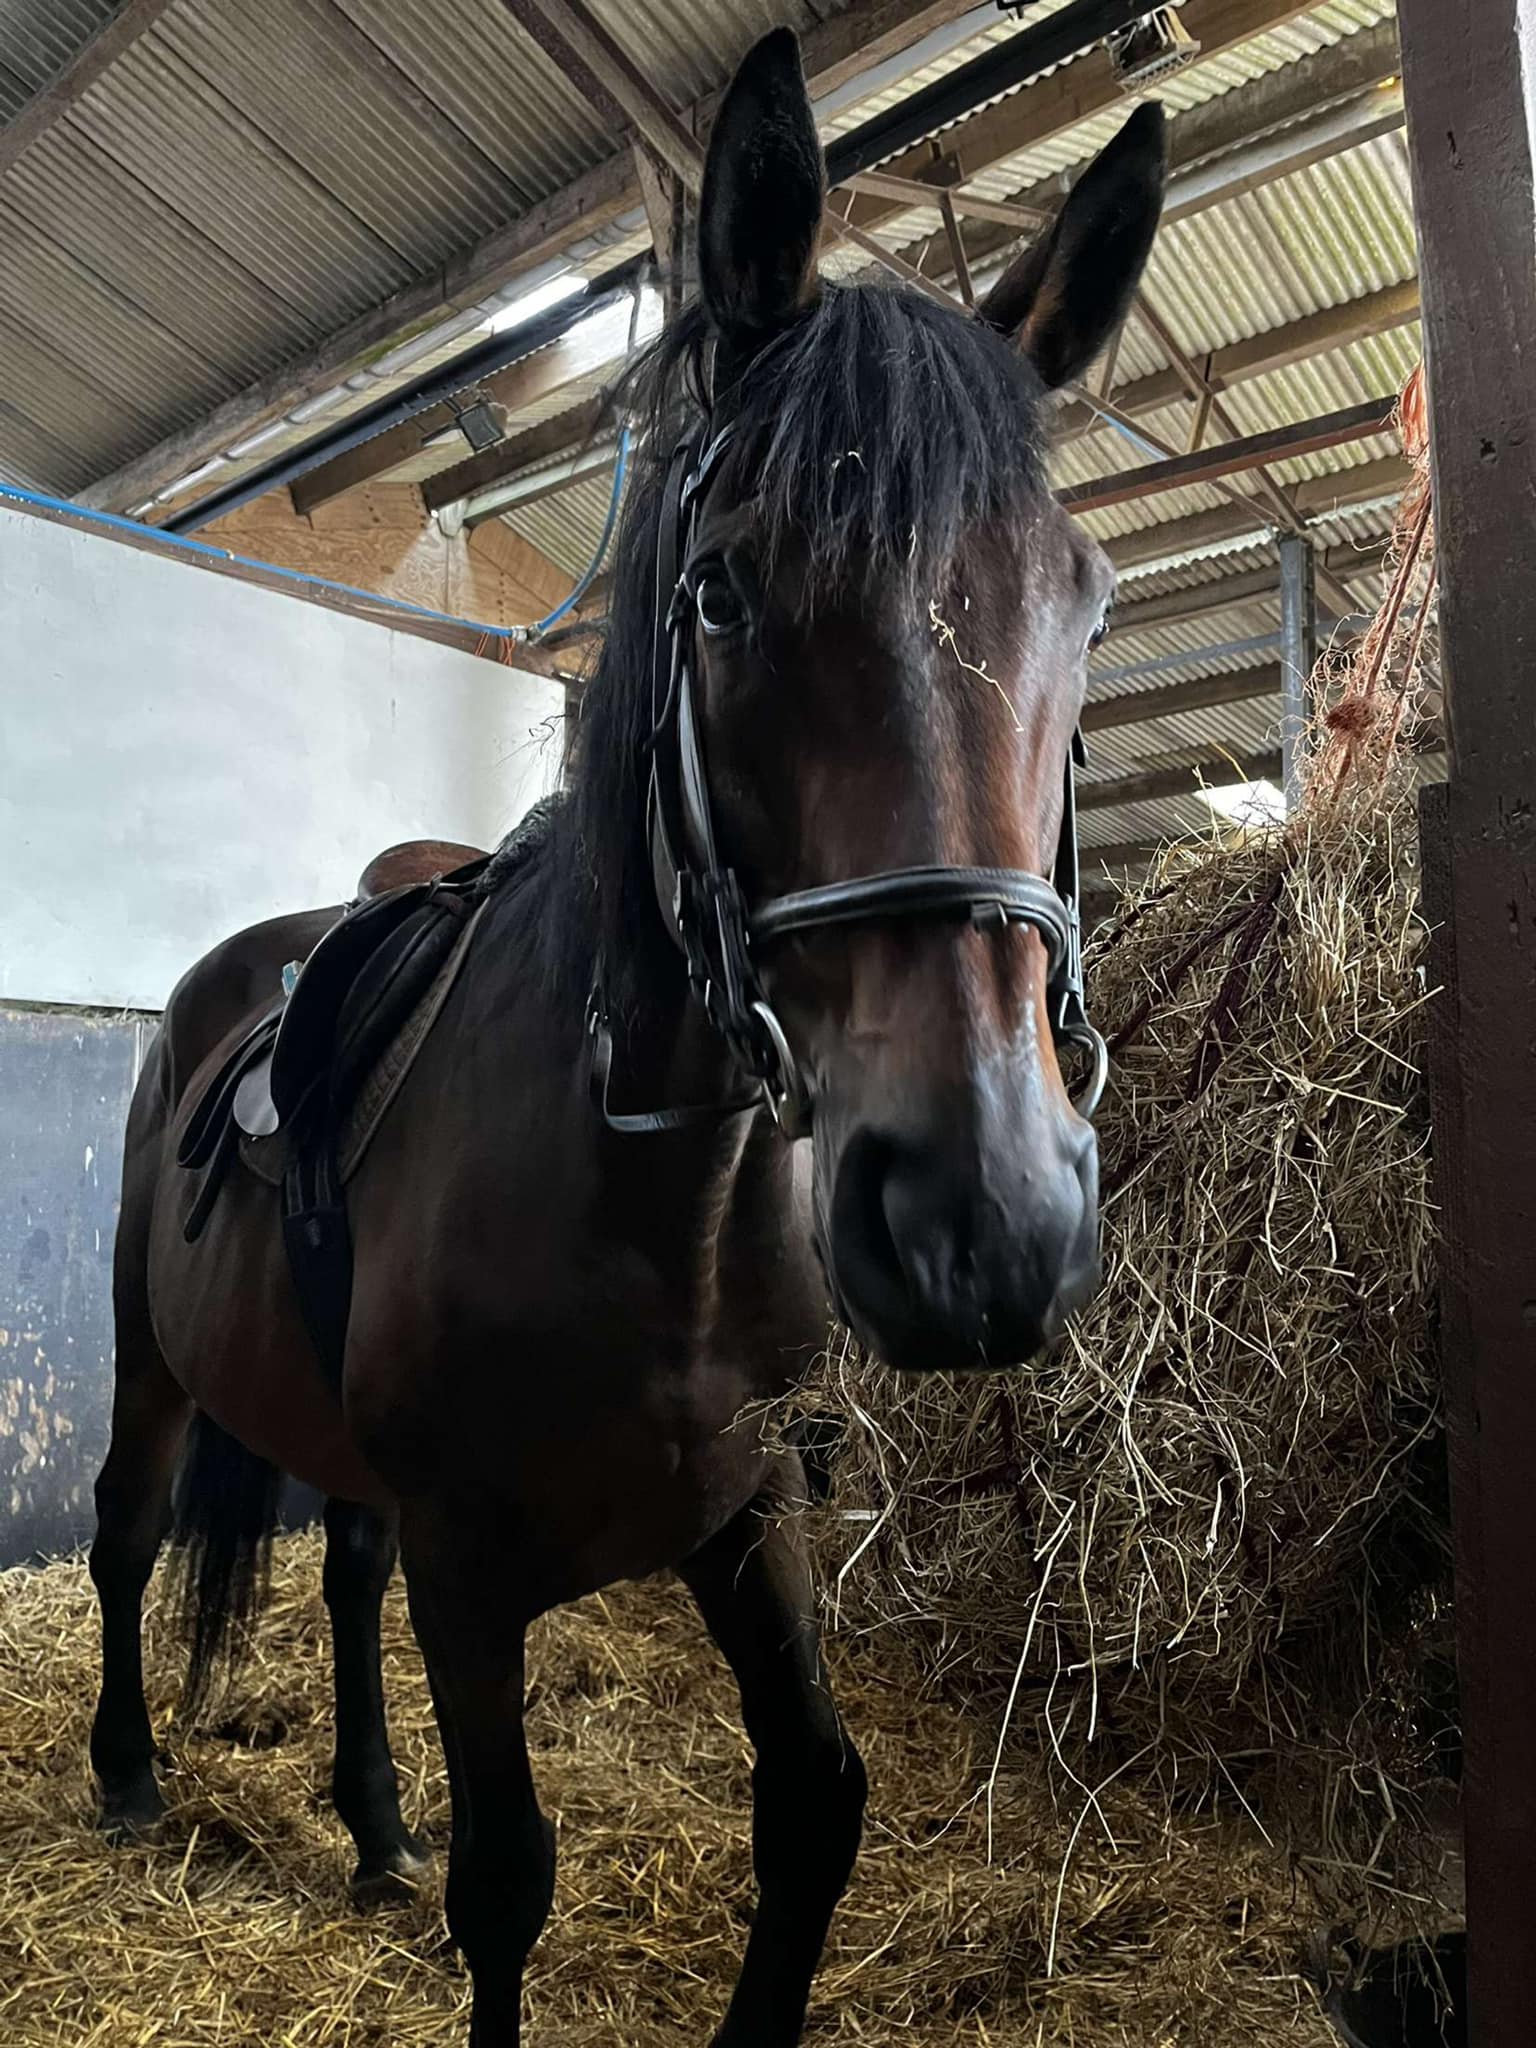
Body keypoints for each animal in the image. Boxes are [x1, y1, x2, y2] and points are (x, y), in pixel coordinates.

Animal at [88, 31, 1165, 2045]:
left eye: (1089, 600)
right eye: (723, 587)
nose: (984, 1216)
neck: (651, 1196)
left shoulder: (746, 1515)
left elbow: (816, 1804)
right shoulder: (472, 1568)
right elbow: (511, 1881)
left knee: (333, 1575)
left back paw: (371, 1819)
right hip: (144, 1344)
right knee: (124, 1526)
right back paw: (123, 1770)